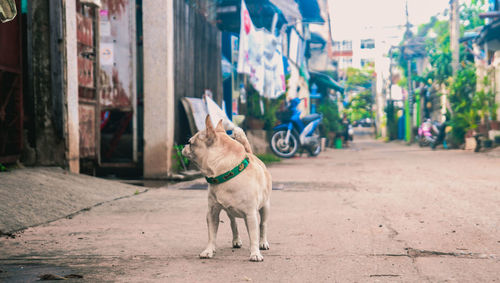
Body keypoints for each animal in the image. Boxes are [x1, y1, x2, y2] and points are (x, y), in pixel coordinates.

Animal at [182, 115, 272, 262]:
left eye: (190, 143)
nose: (184, 146)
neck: (228, 174)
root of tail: (250, 153)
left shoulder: (251, 214)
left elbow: (254, 235)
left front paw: (255, 253)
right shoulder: (212, 213)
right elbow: (211, 235)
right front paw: (209, 250)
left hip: (265, 207)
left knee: (262, 225)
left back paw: (263, 243)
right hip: (230, 212)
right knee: (233, 223)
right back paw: (236, 240)